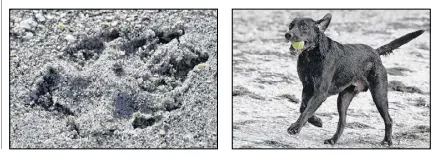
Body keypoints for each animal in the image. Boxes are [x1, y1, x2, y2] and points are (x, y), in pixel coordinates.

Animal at [284, 13, 424, 146]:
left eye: (304, 26)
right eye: (290, 26)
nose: (287, 34)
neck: (312, 56)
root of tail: (375, 53)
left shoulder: (320, 92)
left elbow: (307, 110)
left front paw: (295, 127)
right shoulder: (307, 87)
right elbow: (303, 108)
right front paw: (316, 121)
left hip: (379, 95)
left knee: (388, 119)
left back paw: (387, 140)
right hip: (343, 98)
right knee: (343, 122)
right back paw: (332, 140)